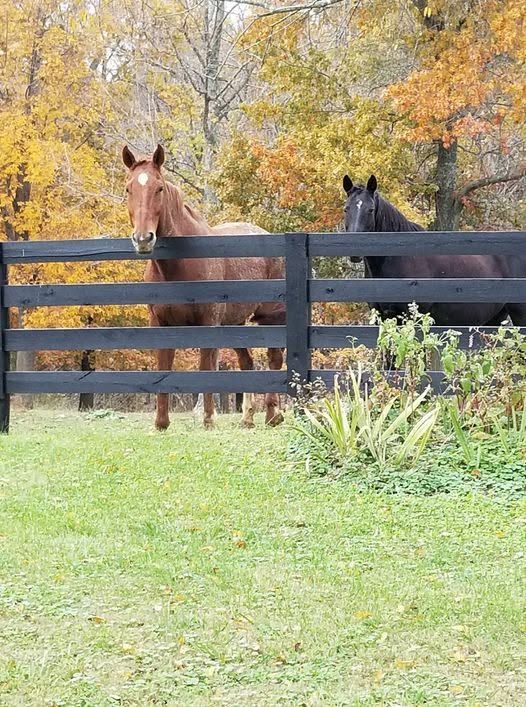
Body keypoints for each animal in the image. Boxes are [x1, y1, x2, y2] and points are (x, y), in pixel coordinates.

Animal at [123, 144, 285, 430]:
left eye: (159, 188)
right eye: (129, 188)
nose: (143, 239)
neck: (178, 267)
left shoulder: (207, 323)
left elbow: (205, 368)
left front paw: (208, 418)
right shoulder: (160, 324)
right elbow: (164, 367)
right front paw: (161, 422)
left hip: (270, 317)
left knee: (274, 358)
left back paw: (273, 415)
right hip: (235, 324)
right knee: (246, 361)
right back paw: (248, 418)